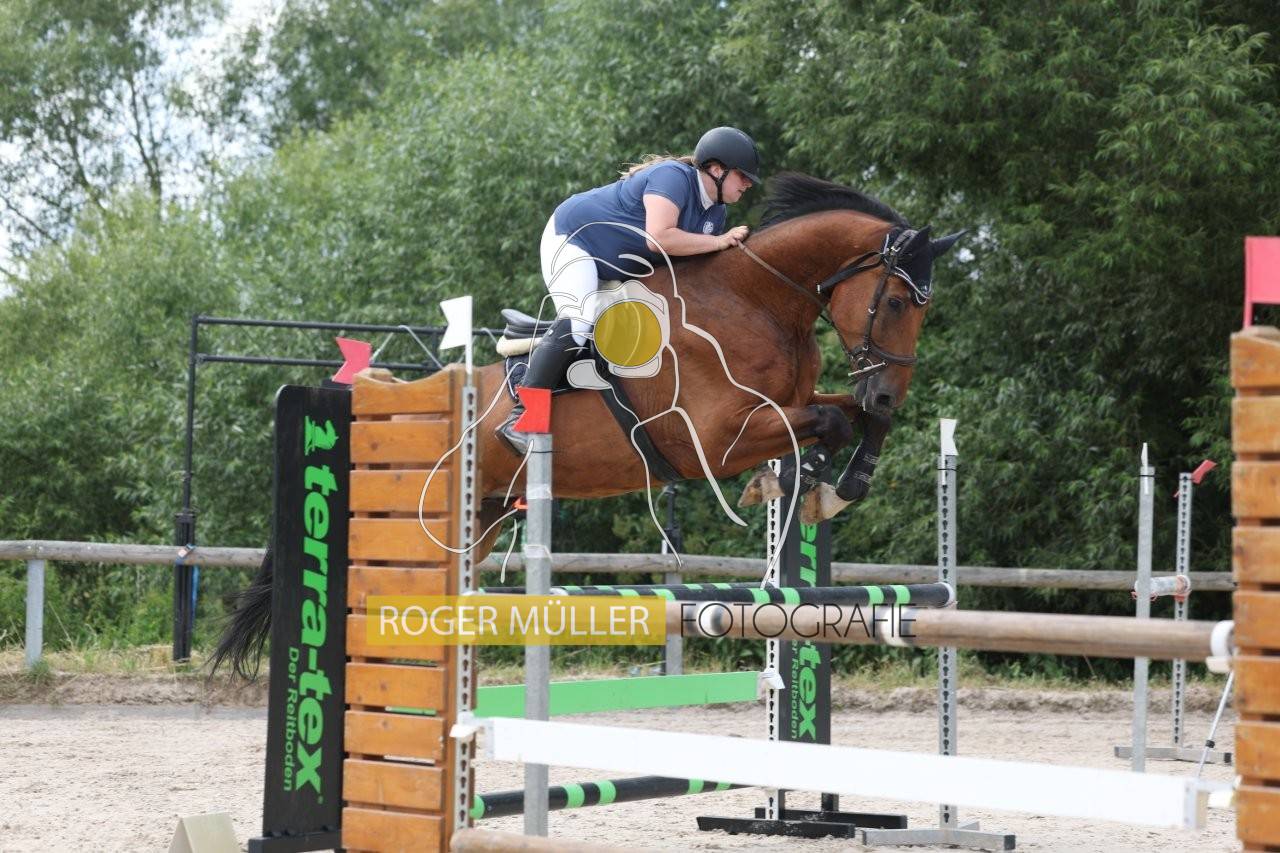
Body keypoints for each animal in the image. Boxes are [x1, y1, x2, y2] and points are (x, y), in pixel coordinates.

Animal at [210, 172, 961, 678]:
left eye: (925, 307)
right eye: (898, 301)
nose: (890, 389)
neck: (758, 299)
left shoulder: (788, 405)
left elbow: (847, 416)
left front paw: (824, 487)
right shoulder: (713, 438)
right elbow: (828, 422)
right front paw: (799, 486)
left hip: (479, 519)